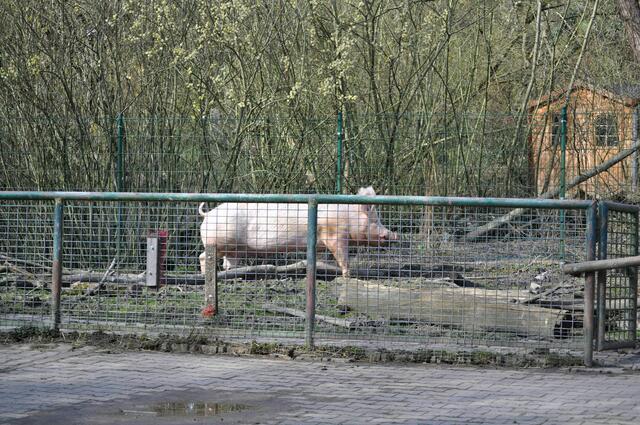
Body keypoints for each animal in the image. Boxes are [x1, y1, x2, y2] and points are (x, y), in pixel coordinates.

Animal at [198, 186, 398, 277]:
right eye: (375, 220)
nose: (395, 235)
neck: (349, 218)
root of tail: (208, 214)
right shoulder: (334, 235)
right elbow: (343, 258)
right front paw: (348, 275)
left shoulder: (321, 243)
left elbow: (320, 259)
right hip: (218, 242)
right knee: (203, 257)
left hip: (234, 249)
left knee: (228, 264)